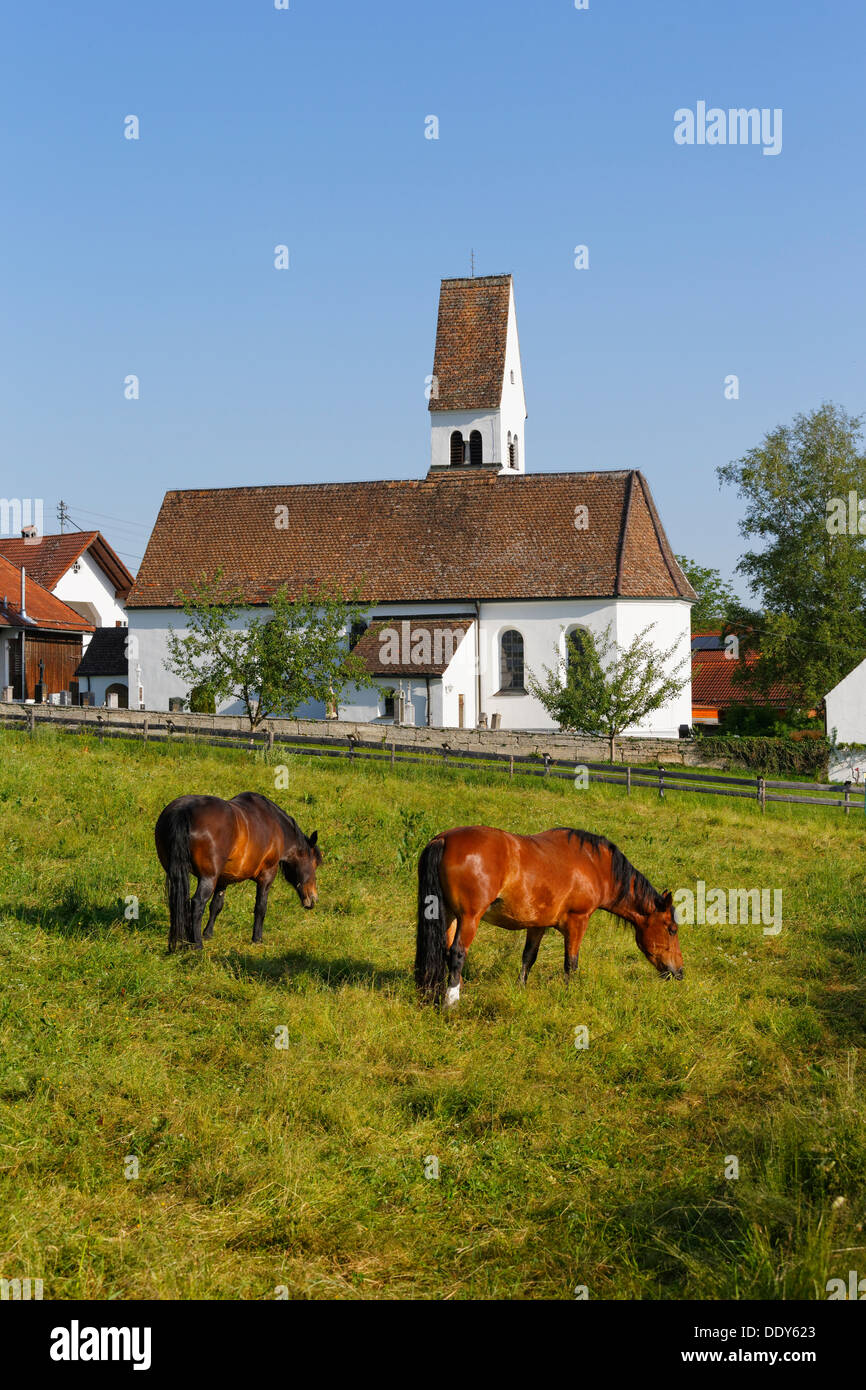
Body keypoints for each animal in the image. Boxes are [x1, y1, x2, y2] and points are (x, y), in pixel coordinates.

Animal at [154, 795, 322, 956]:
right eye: (315, 863)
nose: (313, 898)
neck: (276, 826)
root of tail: (183, 811)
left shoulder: (222, 879)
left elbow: (216, 905)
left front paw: (208, 934)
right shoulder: (267, 876)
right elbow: (260, 907)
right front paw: (257, 939)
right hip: (208, 878)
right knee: (197, 903)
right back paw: (197, 946)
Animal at [414, 822, 683, 1011]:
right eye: (672, 929)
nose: (679, 972)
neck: (595, 865)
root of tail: (443, 839)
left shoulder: (537, 925)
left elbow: (528, 958)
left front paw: (520, 990)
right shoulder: (578, 921)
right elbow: (571, 962)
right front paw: (569, 994)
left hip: (449, 915)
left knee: (443, 949)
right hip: (469, 917)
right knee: (457, 953)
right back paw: (452, 1002)